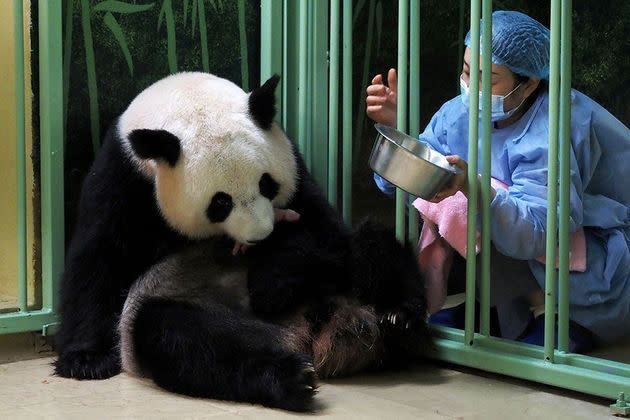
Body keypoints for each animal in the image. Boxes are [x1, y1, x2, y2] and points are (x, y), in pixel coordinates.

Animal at [55, 71, 430, 410]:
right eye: (220, 203)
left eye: (267, 184)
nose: (261, 235)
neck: (184, 98)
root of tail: (310, 333)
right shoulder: (123, 174)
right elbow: (99, 257)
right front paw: (86, 360)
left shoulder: (293, 161)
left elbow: (323, 228)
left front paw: (272, 278)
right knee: (183, 339)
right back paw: (291, 378)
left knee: (372, 242)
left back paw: (398, 317)